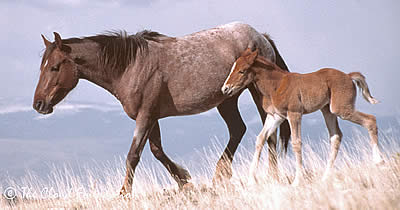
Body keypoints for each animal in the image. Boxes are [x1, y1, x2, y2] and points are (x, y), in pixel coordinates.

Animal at [32, 22, 290, 194]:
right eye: (42, 66)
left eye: (55, 67)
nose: (39, 104)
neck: (131, 66)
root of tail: (261, 37)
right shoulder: (151, 117)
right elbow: (157, 151)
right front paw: (184, 180)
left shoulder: (145, 116)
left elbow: (133, 155)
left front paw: (124, 194)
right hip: (227, 99)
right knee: (238, 129)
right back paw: (221, 175)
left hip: (256, 93)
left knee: (268, 134)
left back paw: (272, 175)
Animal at [222, 48, 384, 185]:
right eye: (232, 68)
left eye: (242, 71)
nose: (225, 89)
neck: (276, 85)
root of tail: (349, 76)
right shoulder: (275, 116)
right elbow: (260, 139)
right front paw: (251, 180)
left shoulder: (294, 114)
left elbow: (296, 143)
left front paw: (297, 180)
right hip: (328, 111)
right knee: (336, 136)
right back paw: (326, 177)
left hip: (342, 109)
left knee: (370, 120)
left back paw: (379, 161)